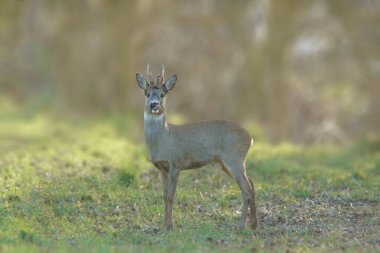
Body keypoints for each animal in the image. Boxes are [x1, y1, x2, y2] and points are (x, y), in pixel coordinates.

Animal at [137, 64, 258, 231]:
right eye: (147, 94)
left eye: (162, 94)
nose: (154, 105)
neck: (164, 140)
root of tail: (250, 138)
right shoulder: (162, 168)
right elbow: (164, 196)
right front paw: (163, 225)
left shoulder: (176, 163)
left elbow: (171, 196)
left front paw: (170, 227)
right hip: (229, 162)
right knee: (251, 183)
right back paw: (254, 224)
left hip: (234, 158)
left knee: (246, 188)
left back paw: (241, 226)